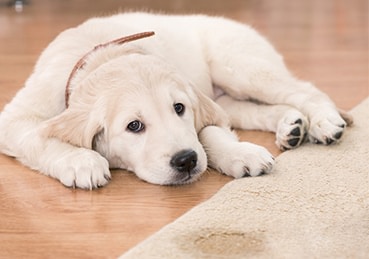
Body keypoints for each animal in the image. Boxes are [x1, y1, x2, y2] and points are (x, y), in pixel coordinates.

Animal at [0, 12, 350, 189]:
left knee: (305, 90)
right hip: (229, 94)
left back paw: (323, 122)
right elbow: (40, 137)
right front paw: (81, 161)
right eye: (134, 126)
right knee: (254, 110)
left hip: (238, 66)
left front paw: (239, 154)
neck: (103, 55)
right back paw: (291, 126)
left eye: (179, 108)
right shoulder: (15, 119)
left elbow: (208, 132)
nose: (186, 161)